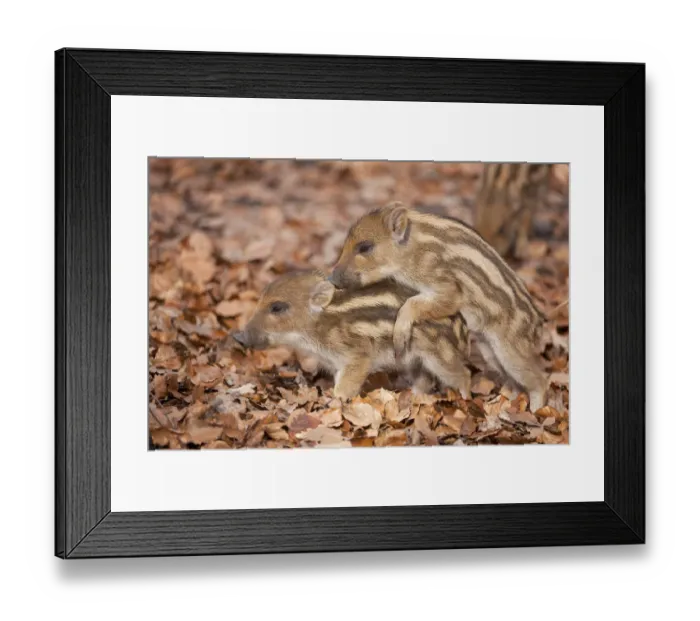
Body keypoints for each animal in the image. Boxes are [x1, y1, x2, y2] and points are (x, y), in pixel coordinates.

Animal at [234, 270, 472, 401]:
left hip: (441, 357)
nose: (239, 337)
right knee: (425, 381)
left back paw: (466, 398)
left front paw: (335, 400)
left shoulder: (358, 356)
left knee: (463, 375)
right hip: (412, 361)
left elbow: (346, 385)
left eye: (277, 307)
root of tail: (463, 330)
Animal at [330, 202, 548, 411]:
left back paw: (535, 410)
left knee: (540, 380)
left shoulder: (449, 289)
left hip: (511, 349)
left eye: (365, 247)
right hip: (490, 351)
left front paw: (399, 341)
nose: (331, 279)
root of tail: (537, 323)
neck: (411, 252)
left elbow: (413, 303)